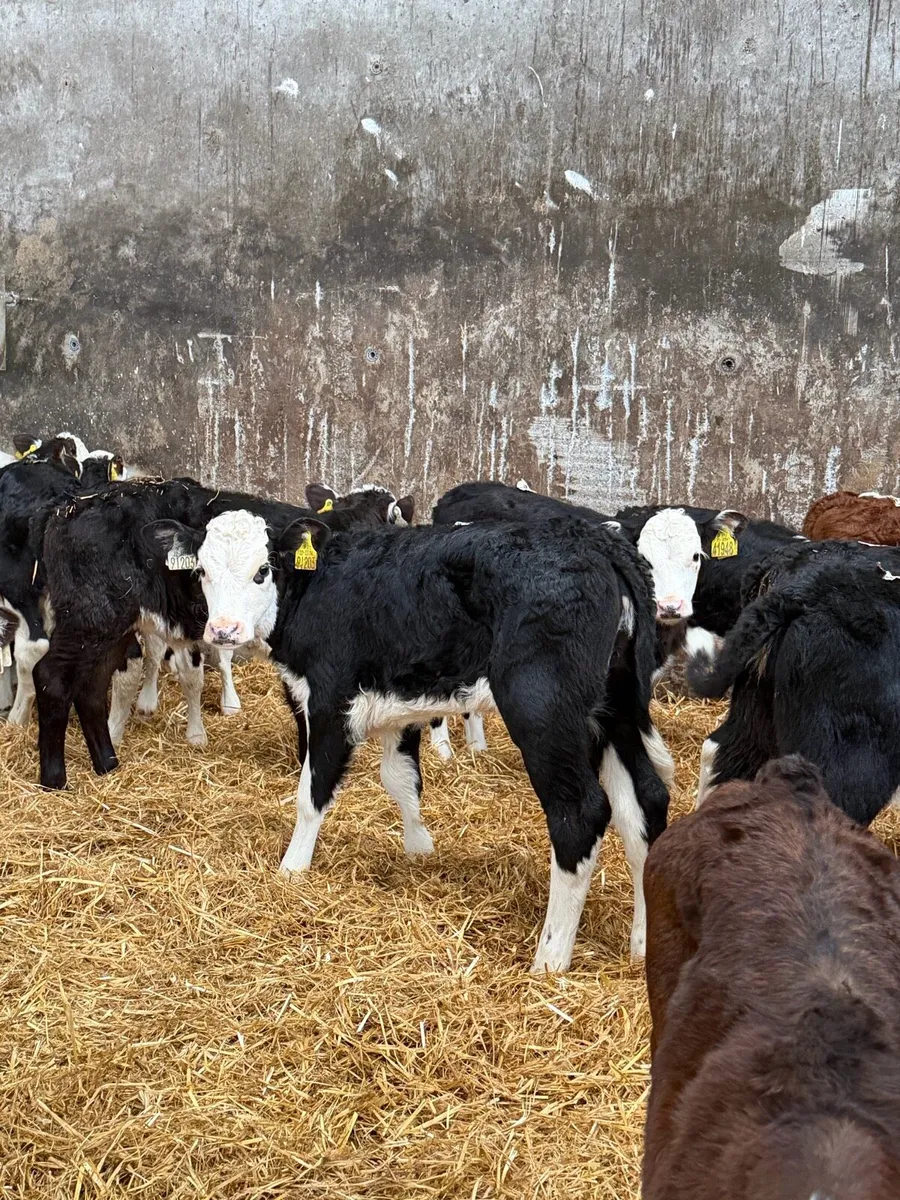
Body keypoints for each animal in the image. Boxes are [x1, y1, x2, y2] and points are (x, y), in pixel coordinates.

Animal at [33, 479, 412, 788]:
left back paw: (107, 763)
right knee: (51, 677)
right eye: (201, 570)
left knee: (91, 687)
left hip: (109, 626)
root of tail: (68, 508)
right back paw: (54, 779)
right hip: (89, 617)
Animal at [160, 506, 674, 971]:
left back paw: (549, 960)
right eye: (202, 570)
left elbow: (312, 793)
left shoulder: (328, 700)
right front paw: (419, 848)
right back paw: (644, 945)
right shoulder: (395, 707)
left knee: (580, 814)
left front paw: (292, 869)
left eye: (262, 571)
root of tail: (595, 541)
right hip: (616, 710)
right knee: (643, 803)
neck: (317, 588)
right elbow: (401, 779)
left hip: (545, 711)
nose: (223, 630)